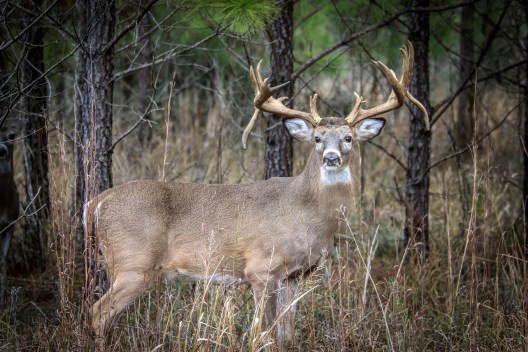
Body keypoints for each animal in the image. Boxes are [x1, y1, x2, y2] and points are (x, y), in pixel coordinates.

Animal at [85, 42, 424, 348]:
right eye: (316, 138)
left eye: (349, 138)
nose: (331, 157)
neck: (308, 216)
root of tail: (97, 202)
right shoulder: (262, 269)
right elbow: (263, 335)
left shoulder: (296, 275)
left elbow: (286, 335)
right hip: (133, 261)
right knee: (98, 312)